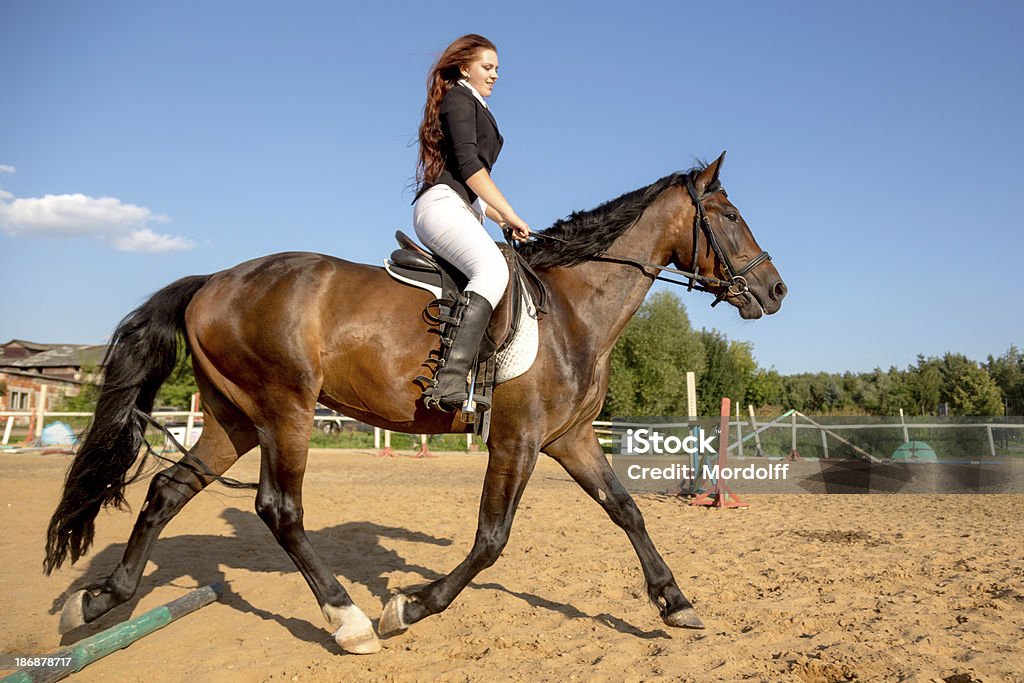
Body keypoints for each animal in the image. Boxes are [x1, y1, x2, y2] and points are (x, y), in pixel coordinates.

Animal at [44, 152, 782, 655]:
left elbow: (627, 510)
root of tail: (213, 280)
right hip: (286, 411)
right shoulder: (517, 438)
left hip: (235, 418)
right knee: (279, 508)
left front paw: (675, 602)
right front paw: (412, 605)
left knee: (168, 489)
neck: (574, 308)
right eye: (730, 216)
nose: (776, 291)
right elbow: (491, 539)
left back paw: (101, 599)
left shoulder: (570, 437)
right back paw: (347, 621)